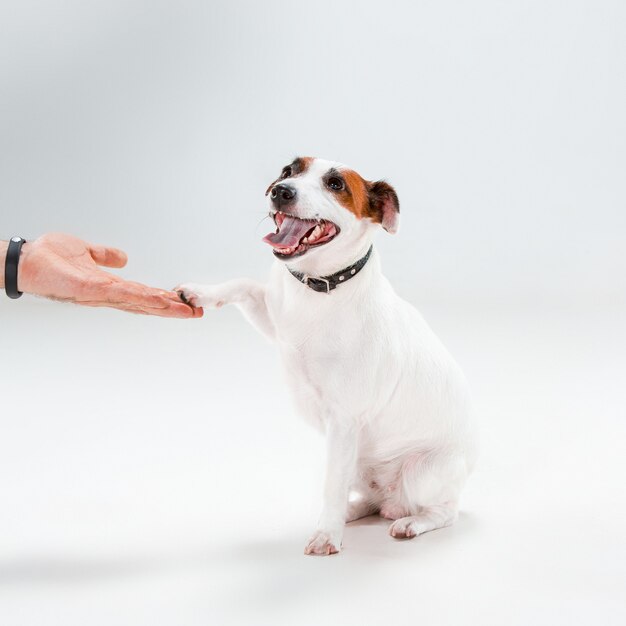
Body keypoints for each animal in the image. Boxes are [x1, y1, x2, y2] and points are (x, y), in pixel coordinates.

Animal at [178, 157, 476, 556]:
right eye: (289, 170)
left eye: (336, 185)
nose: (281, 191)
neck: (320, 287)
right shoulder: (275, 322)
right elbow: (243, 284)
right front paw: (200, 292)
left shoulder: (344, 419)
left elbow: (331, 485)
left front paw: (326, 535)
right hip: (361, 464)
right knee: (371, 500)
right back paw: (355, 511)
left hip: (421, 471)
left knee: (444, 511)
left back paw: (409, 523)